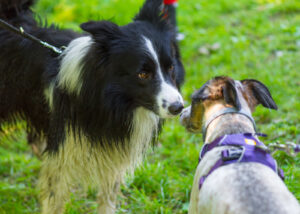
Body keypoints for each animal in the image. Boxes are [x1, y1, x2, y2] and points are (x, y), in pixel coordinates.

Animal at [0, 0, 184, 212]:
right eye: (143, 74)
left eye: (171, 67)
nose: (178, 107)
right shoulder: (63, 151)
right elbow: (54, 197)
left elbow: (107, 197)